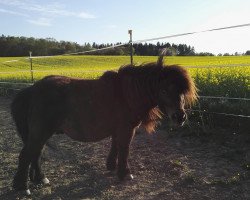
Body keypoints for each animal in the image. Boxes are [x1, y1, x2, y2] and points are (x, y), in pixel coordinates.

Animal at [10, 55, 197, 195]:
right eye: (164, 90)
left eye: (182, 92)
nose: (180, 117)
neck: (126, 94)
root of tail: (32, 90)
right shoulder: (127, 129)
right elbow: (124, 149)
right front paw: (125, 173)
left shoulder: (117, 129)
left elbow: (115, 147)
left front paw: (112, 167)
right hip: (41, 131)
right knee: (26, 155)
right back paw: (22, 187)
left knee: (36, 153)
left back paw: (40, 178)